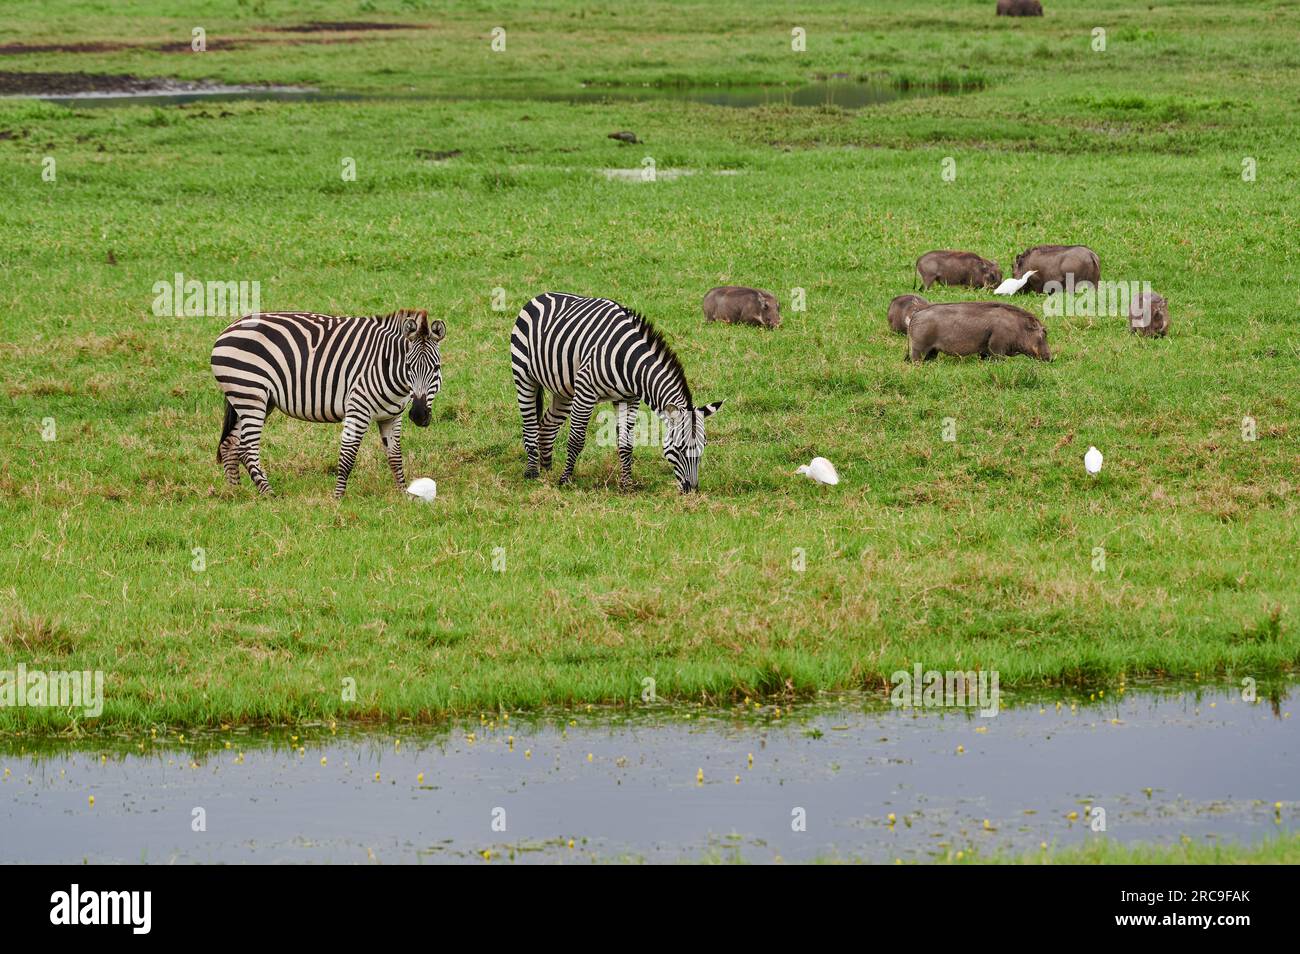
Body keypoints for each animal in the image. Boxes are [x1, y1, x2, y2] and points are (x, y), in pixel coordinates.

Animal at [211, 309, 444, 498]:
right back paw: (269, 494)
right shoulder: (358, 409)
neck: (389, 368)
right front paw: (338, 498)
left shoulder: (392, 416)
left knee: (230, 444)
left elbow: (395, 456)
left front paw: (403, 494)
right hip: (251, 394)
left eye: (436, 368)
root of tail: (229, 328)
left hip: (254, 400)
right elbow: (348, 455)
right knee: (247, 448)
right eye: (408, 366)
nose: (419, 415)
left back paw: (235, 492)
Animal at [509, 292, 724, 493]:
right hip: (524, 376)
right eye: (679, 448)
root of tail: (541, 296)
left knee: (546, 426)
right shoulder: (586, 391)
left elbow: (626, 444)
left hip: (564, 390)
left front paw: (627, 485)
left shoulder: (629, 399)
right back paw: (532, 472)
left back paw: (547, 471)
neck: (630, 362)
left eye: (704, 446)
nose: (692, 490)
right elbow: (576, 440)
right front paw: (565, 480)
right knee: (530, 426)